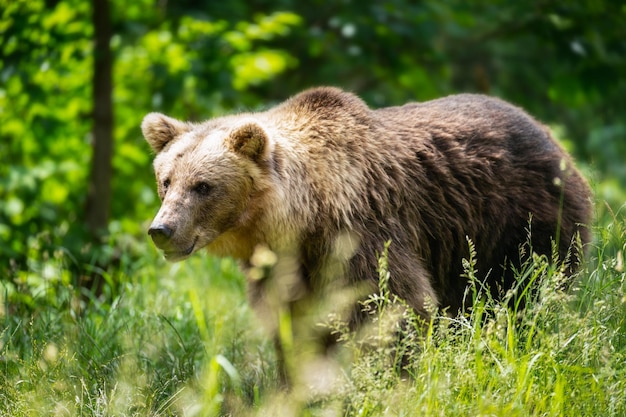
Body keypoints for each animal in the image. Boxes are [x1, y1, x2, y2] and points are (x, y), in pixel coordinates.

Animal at [141, 86, 588, 346]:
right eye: (166, 180)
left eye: (203, 186)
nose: (162, 229)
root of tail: (546, 131)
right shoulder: (283, 267)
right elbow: (294, 324)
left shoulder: (360, 233)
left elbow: (394, 304)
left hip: (518, 221)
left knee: (521, 290)